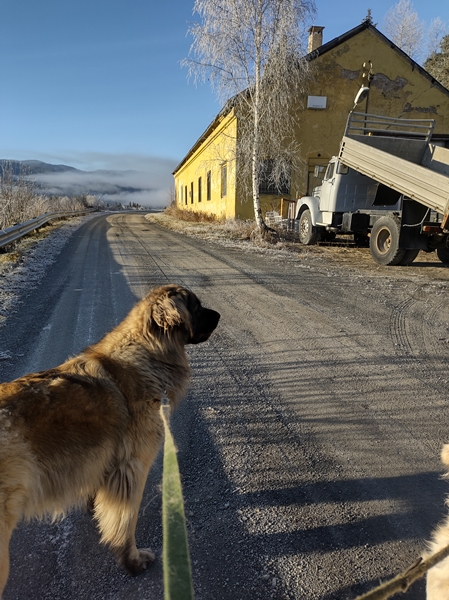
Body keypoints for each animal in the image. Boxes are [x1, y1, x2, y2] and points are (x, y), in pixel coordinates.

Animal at [0, 284, 219, 596]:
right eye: (197, 307)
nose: (219, 315)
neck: (148, 352)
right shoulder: (132, 468)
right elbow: (126, 521)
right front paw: (133, 561)